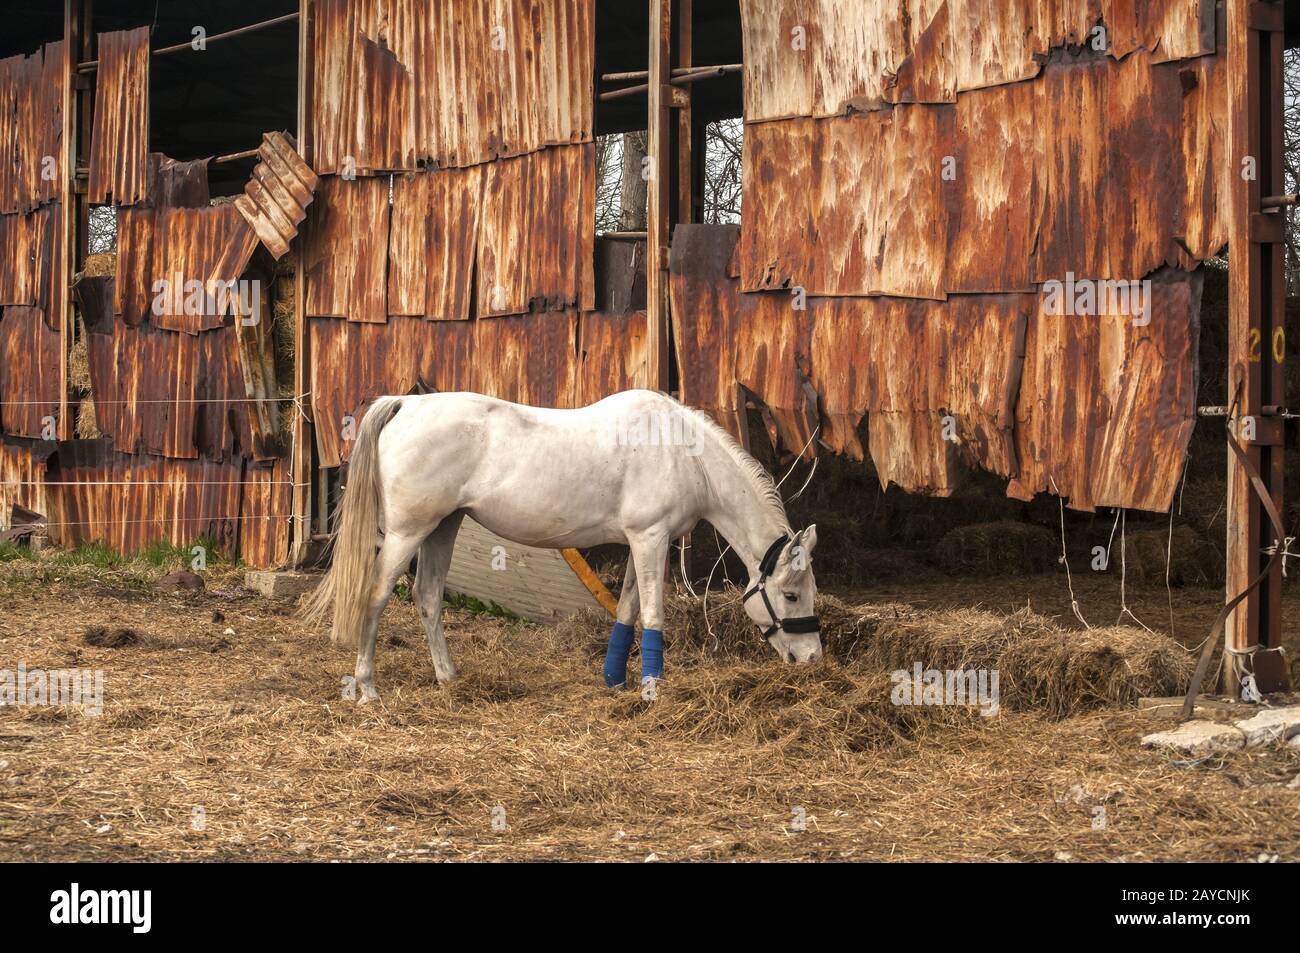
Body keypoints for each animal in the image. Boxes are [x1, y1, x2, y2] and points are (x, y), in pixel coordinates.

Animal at [301, 389, 822, 703]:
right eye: (791, 595)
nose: (813, 660)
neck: (682, 453)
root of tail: (406, 404)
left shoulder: (638, 542)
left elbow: (627, 608)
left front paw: (615, 680)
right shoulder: (651, 538)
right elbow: (653, 614)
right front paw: (652, 689)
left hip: (443, 527)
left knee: (428, 596)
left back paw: (448, 678)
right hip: (409, 532)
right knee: (376, 596)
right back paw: (368, 689)